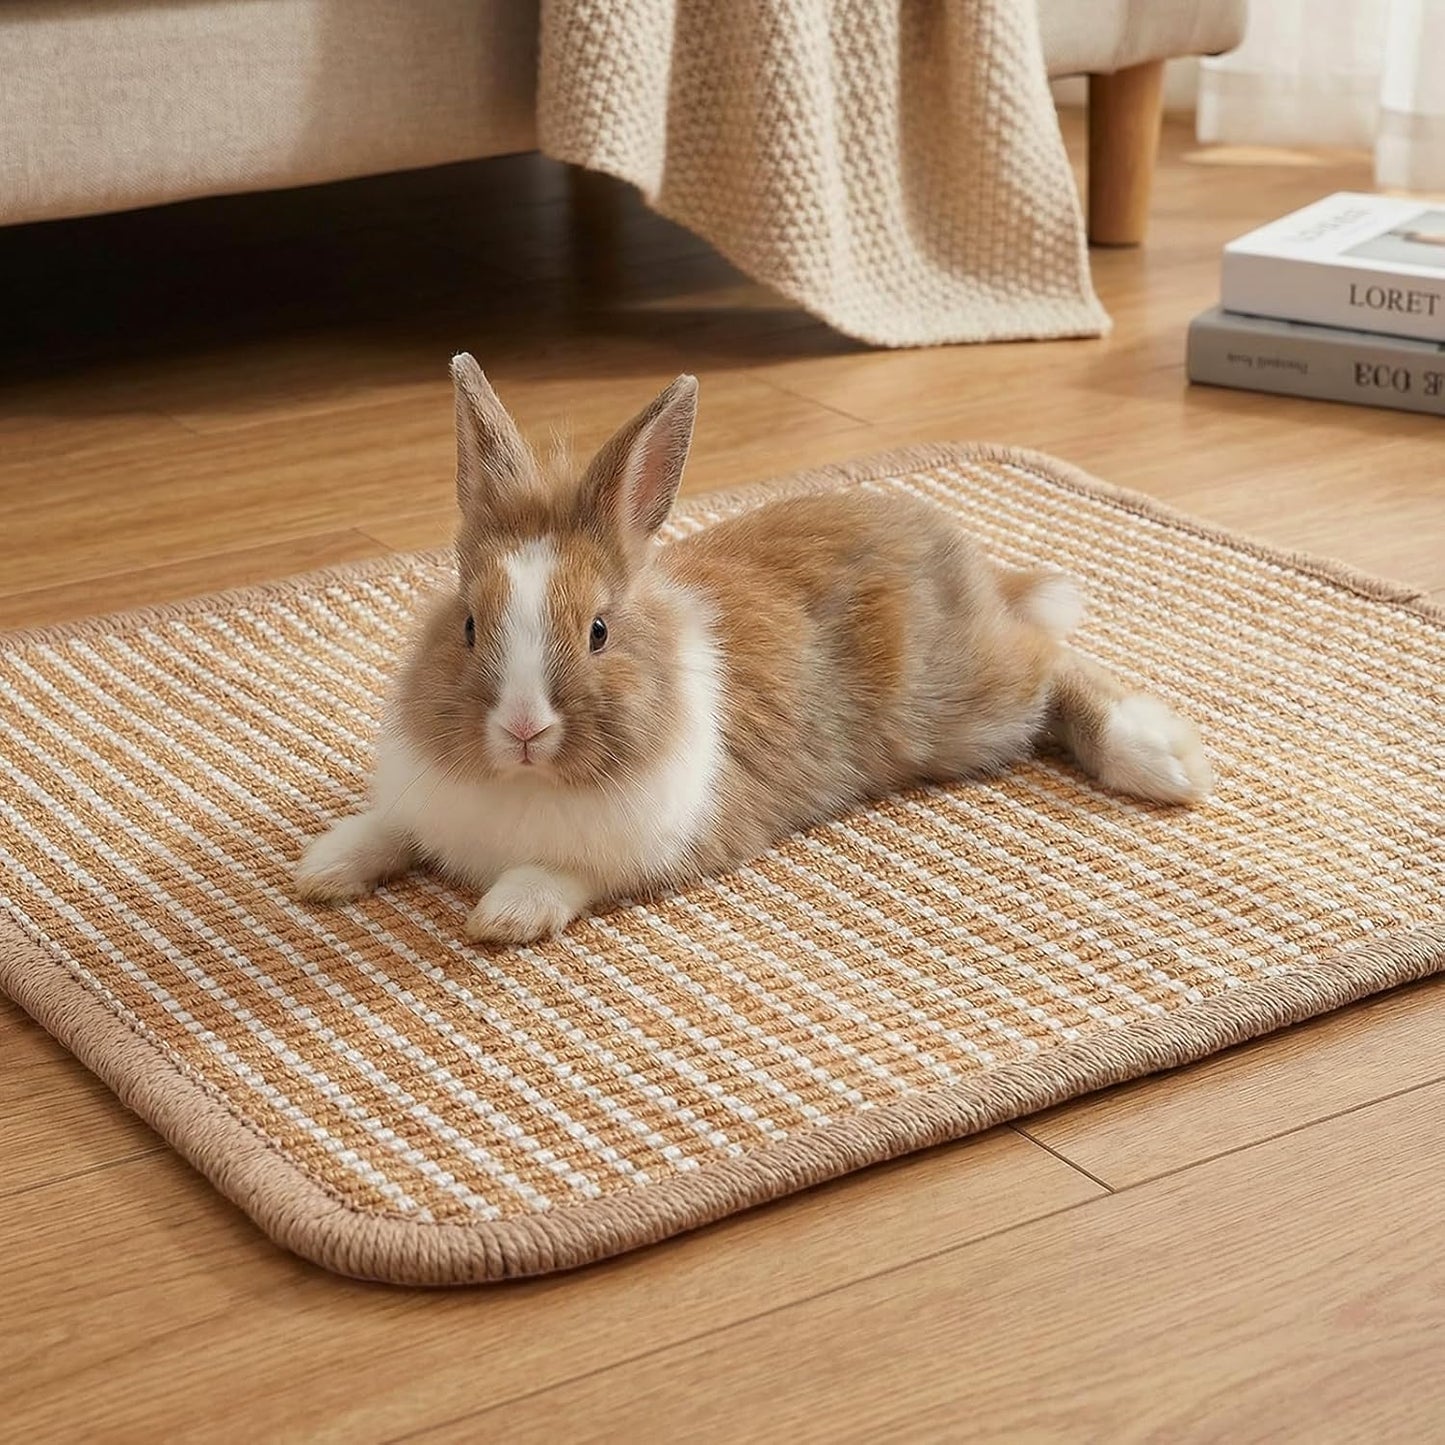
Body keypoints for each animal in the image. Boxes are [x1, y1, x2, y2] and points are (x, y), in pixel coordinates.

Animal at [295, 354, 1212, 945]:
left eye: (598, 631)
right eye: (467, 626)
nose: (523, 728)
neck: (522, 785)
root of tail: (972, 566)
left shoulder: (669, 840)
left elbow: (567, 872)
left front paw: (506, 914)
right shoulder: (422, 804)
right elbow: (390, 829)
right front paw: (323, 866)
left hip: (960, 708)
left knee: (1052, 663)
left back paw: (1160, 758)